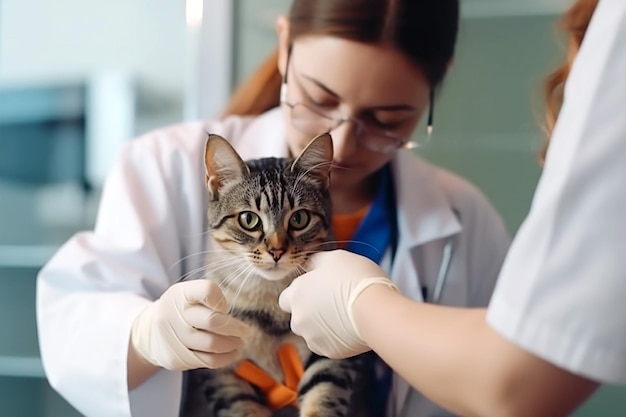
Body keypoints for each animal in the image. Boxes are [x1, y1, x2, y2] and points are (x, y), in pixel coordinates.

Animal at [183, 133, 370, 416]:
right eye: (249, 219)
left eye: (299, 218)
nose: (276, 250)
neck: (271, 301)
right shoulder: (220, 369)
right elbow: (242, 406)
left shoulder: (332, 354)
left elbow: (323, 396)